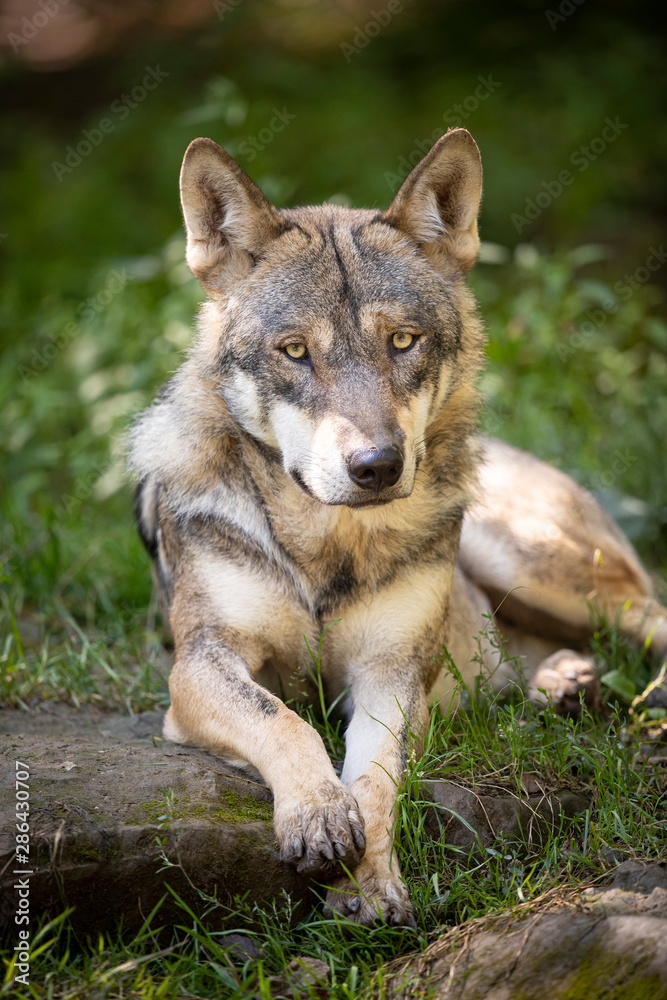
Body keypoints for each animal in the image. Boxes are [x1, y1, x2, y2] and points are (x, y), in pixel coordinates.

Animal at [130, 129, 667, 927]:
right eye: (295, 351)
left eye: (403, 341)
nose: (377, 466)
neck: (323, 546)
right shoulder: (199, 665)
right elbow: (281, 720)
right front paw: (319, 816)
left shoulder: (390, 672)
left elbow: (376, 777)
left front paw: (370, 884)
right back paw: (564, 684)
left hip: (528, 559)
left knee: (650, 616)